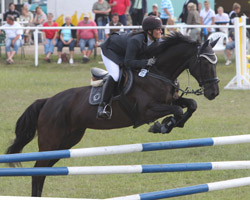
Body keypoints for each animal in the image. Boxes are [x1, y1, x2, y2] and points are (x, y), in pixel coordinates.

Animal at [5, 32, 219, 196]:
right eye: (205, 63)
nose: (214, 93)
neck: (157, 72)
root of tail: (48, 101)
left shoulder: (170, 100)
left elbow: (191, 105)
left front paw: (170, 124)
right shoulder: (146, 111)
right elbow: (177, 110)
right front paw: (163, 125)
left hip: (67, 141)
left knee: (43, 171)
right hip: (51, 141)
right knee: (37, 172)